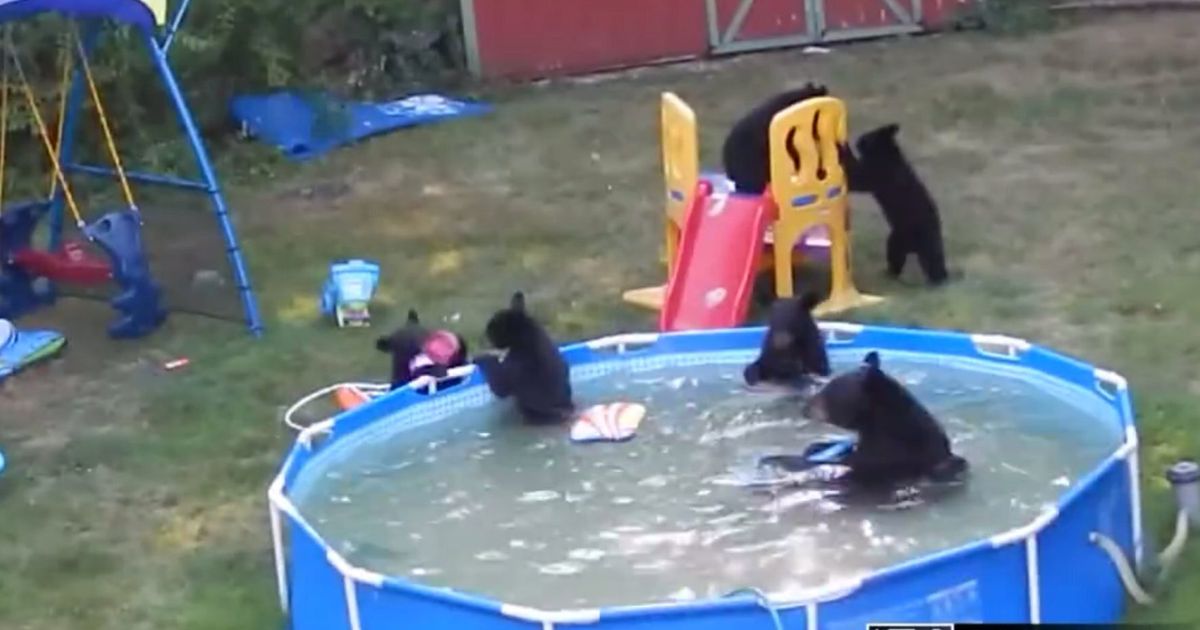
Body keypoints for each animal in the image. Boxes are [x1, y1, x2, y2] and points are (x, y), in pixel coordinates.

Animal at [472, 292, 576, 424]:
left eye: (492, 330)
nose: (485, 334)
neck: (526, 331)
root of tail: (566, 410)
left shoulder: (512, 365)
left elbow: (499, 385)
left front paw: (481, 357)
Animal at [849, 123, 950, 284]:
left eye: (868, 137)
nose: (858, 141)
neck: (887, 153)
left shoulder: (869, 175)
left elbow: (854, 174)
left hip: (919, 245)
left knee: (933, 266)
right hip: (896, 243)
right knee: (899, 260)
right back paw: (890, 274)